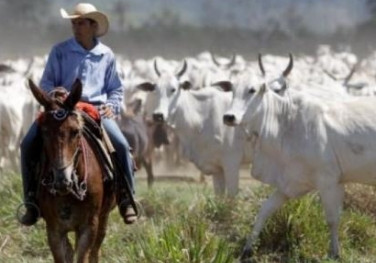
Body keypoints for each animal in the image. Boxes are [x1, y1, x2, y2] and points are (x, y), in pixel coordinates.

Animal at [28, 79, 116, 262]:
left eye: (75, 132)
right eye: (44, 132)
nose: (62, 180)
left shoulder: (89, 227)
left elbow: (84, 255)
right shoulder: (54, 230)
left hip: (103, 218)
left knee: (95, 251)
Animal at [223, 54, 376, 260]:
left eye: (252, 90)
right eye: (232, 90)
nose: (229, 117)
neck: (285, 123)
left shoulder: (328, 181)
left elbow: (332, 219)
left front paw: (335, 253)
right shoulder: (289, 183)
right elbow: (263, 211)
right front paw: (247, 249)